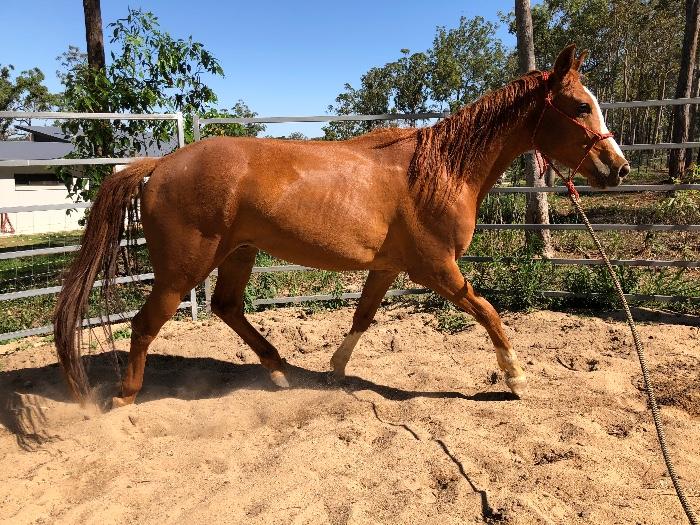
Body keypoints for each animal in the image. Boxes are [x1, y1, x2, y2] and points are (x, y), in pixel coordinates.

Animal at [53, 44, 629, 407]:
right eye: (581, 106)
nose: (618, 168)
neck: (439, 170)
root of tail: (161, 164)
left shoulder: (389, 267)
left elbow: (363, 316)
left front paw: (334, 369)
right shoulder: (438, 269)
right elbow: (488, 311)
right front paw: (515, 378)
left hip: (239, 253)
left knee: (227, 307)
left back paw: (280, 371)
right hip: (183, 268)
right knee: (145, 324)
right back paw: (123, 399)